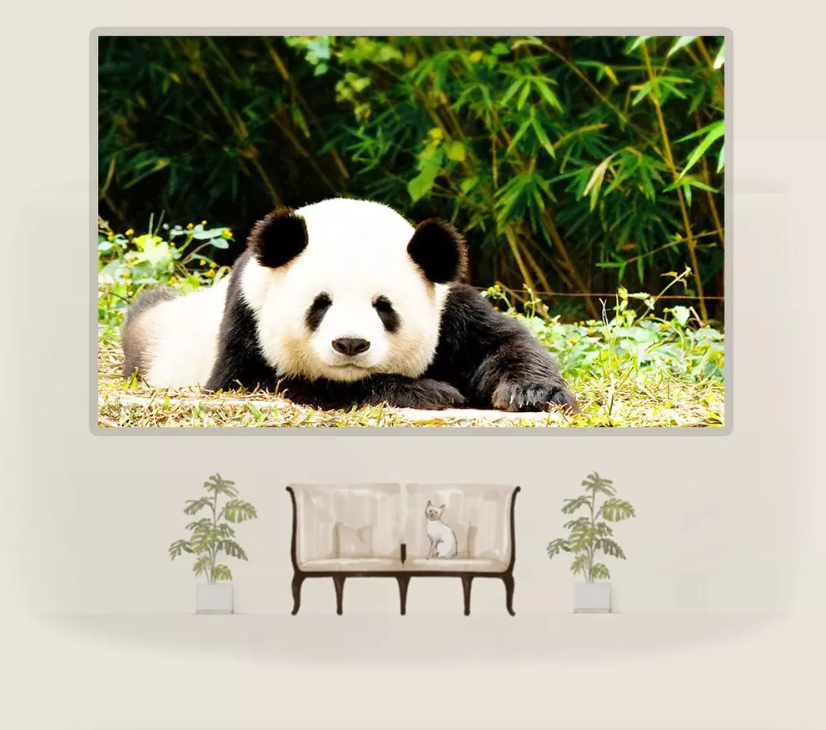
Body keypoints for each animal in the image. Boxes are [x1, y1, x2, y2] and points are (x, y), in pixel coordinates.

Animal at [122, 198, 577, 413]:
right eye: (320, 304)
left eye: (383, 307)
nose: (351, 345)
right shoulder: (247, 314)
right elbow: (265, 382)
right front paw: (429, 392)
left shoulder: (449, 308)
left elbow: (501, 343)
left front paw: (532, 393)